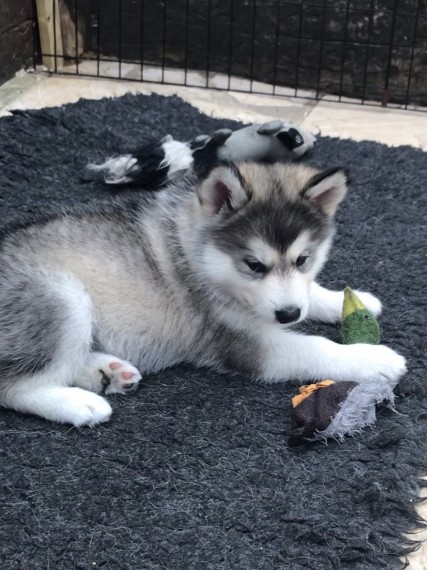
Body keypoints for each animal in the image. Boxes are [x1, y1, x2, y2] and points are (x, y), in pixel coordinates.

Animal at [0, 160, 406, 422]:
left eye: (304, 259)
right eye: (253, 265)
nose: (289, 314)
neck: (192, 249)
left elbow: (312, 293)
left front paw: (345, 300)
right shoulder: (246, 343)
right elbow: (316, 348)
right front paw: (374, 359)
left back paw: (108, 372)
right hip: (59, 296)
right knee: (13, 387)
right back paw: (80, 405)